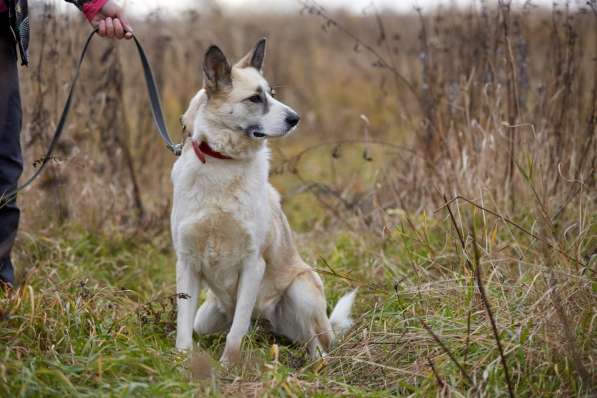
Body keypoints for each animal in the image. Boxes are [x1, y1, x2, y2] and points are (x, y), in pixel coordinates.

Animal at [169, 38, 354, 366]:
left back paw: (313, 365)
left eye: (272, 94)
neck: (223, 164)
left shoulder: (253, 263)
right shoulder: (186, 262)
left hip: (302, 289)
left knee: (316, 345)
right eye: (255, 98)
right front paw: (183, 365)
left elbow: (237, 330)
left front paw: (227, 367)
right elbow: (183, 329)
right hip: (208, 316)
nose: (296, 119)